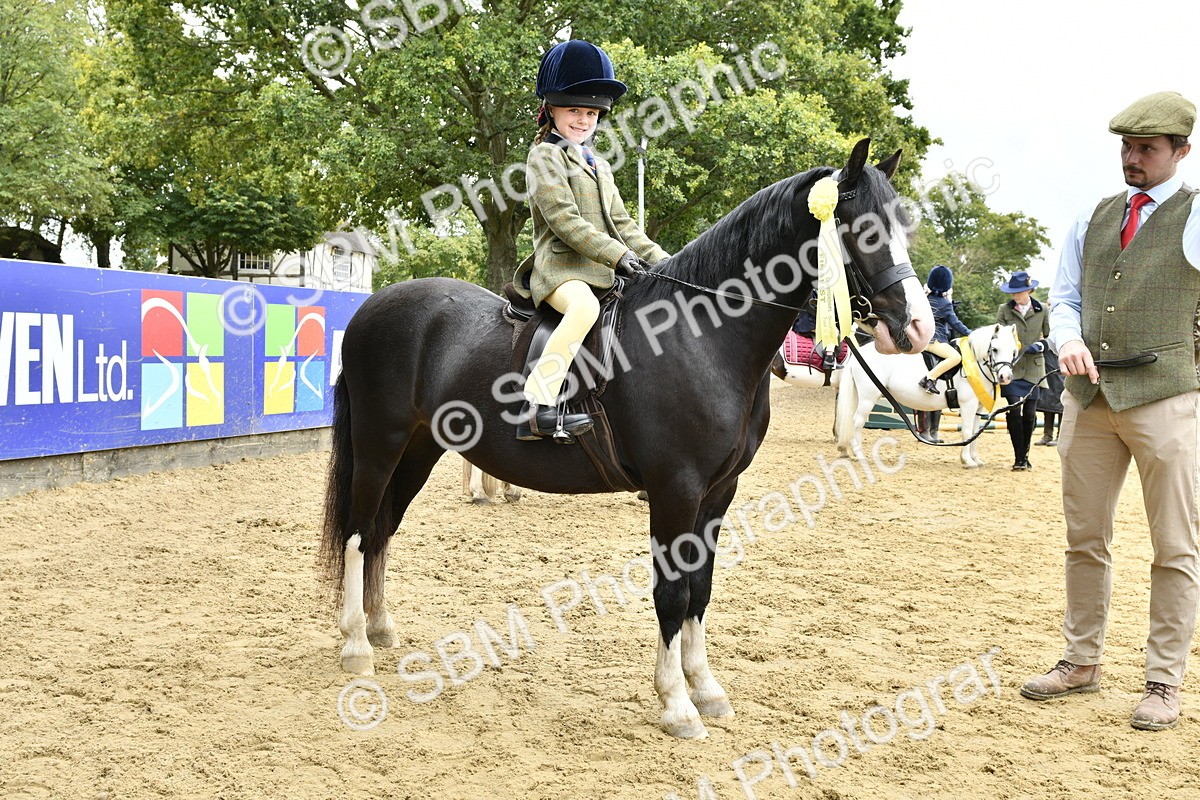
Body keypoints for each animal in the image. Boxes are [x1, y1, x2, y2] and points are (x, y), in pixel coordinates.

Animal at [319, 138, 934, 739]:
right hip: (379, 446)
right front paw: (677, 705)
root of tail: (372, 307)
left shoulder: (719, 492)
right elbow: (671, 591)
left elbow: (700, 588)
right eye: (864, 229)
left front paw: (706, 689)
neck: (700, 335)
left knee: (380, 533)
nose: (918, 328)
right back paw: (355, 647)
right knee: (357, 533)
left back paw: (380, 630)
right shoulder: (675, 489)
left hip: (418, 451)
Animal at [834, 323, 1019, 468]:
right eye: (994, 349)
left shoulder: (978, 408)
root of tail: (859, 355)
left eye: (1013, 352)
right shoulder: (968, 405)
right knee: (857, 421)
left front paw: (976, 459)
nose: (1005, 377)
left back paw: (845, 449)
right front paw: (967, 461)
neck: (974, 364)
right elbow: (967, 432)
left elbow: (975, 432)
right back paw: (859, 454)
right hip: (868, 397)